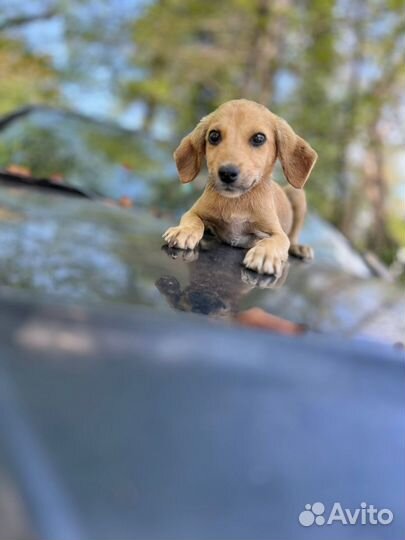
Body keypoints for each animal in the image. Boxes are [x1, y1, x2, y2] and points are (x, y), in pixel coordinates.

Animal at [163, 98, 318, 274]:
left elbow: (277, 240)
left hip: (296, 194)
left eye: (259, 138)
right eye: (213, 136)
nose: (227, 173)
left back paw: (299, 248)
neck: (237, 202)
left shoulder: (277, 232)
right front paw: (184, 230)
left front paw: (265, 254)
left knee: (292, 237)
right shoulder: (194, 211)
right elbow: (193, 220)